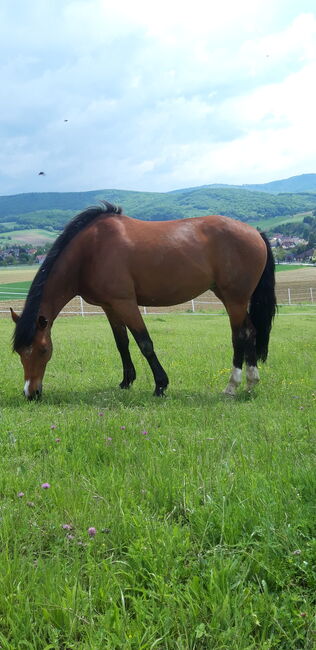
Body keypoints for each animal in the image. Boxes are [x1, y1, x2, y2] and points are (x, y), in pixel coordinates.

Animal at [11, 201, 276, 400]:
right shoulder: (110, 306)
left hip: (234, 299)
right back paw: (251, 382)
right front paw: (126, 381)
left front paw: (160, 385)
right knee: (251, 332)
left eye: (44, 350)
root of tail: (256, 232)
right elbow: (122, 343)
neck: (90, 251)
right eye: (19, 352)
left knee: (239, 336)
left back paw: (232, 386)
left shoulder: (126, 303)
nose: (31, 393)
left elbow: (144, 343)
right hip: (230, 297)